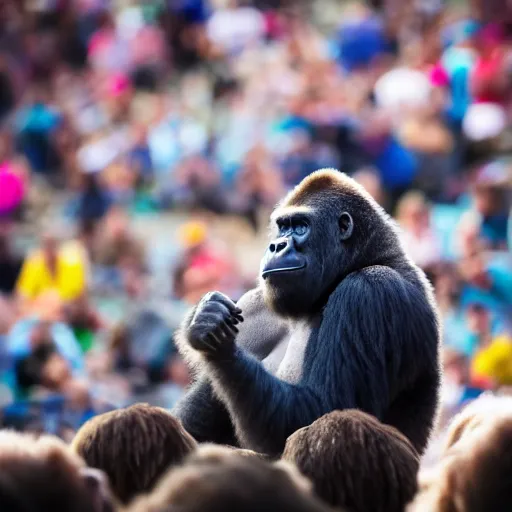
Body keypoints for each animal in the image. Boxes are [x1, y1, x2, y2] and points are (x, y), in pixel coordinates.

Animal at [173, 170, 440, 458]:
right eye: (282, 227)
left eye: (301, 227)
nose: (276, 246)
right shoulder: (254, 306)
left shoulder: (372, 291)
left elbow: (327, 412)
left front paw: (219, 344)